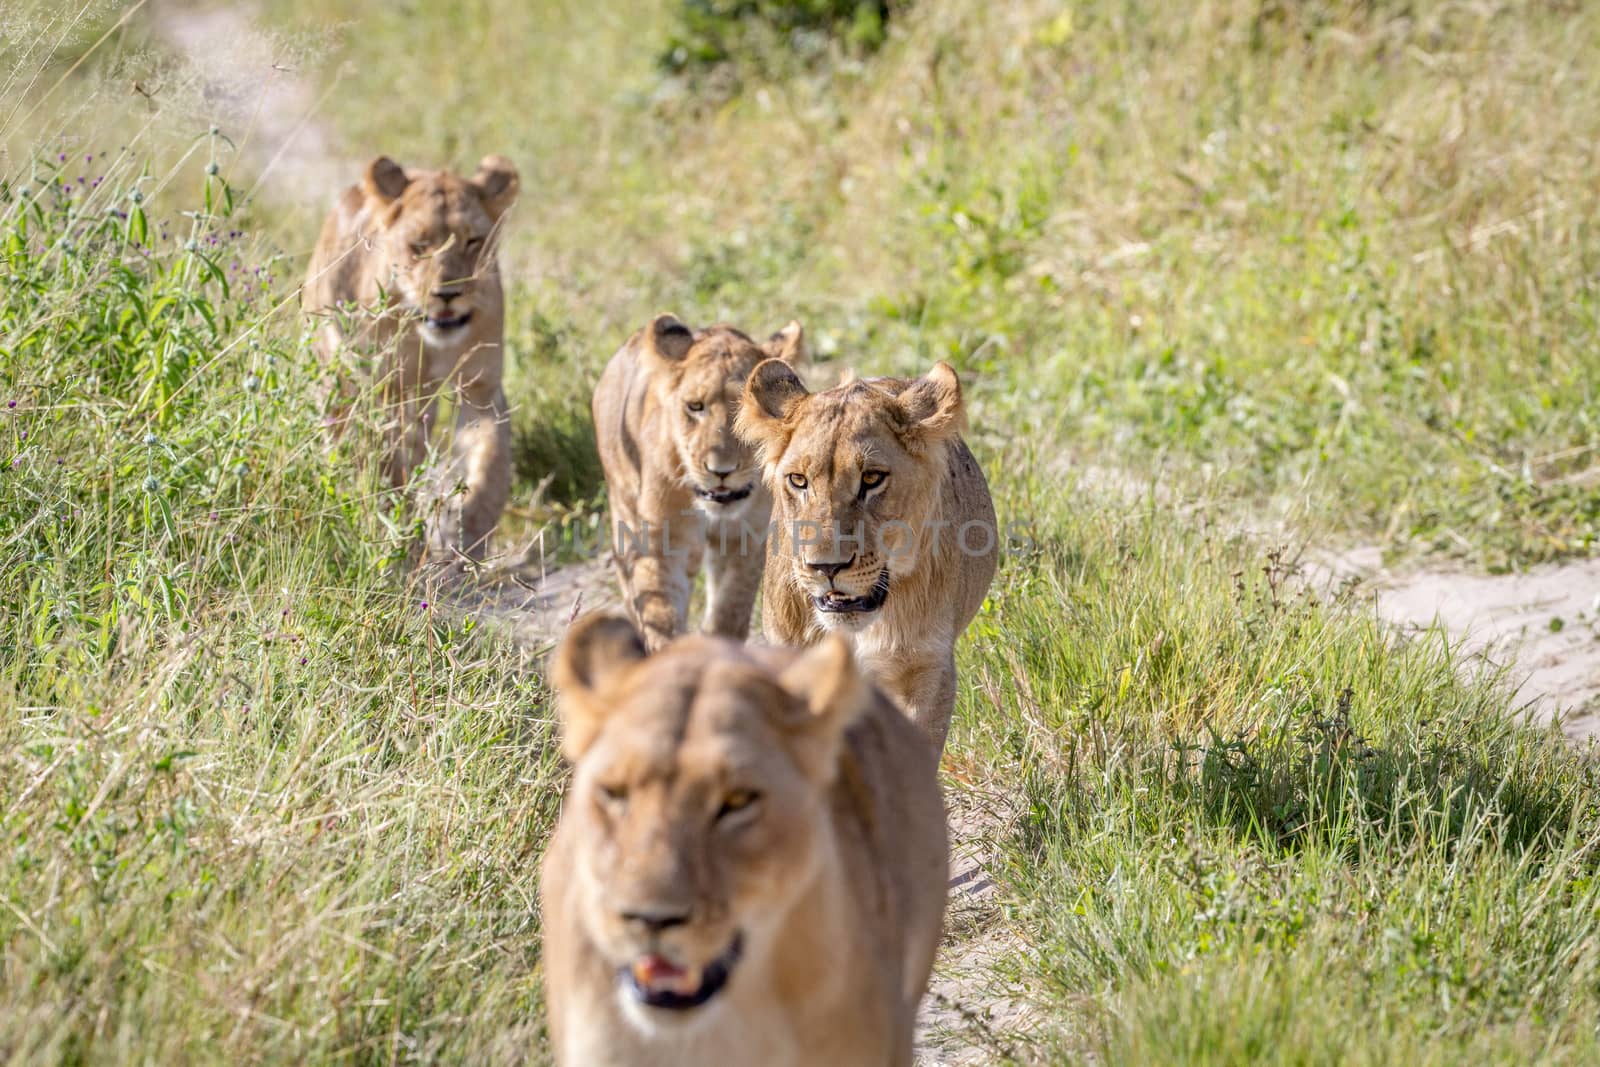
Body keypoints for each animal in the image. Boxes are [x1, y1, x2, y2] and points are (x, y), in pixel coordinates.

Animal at [300, 155, 518, 566]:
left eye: (473, 241)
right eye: (419, 246)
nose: (447, 293)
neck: (429, 340)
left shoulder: (479, 387)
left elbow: (492, 464)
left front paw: (468, 535)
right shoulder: (385, 393)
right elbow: (388, 467)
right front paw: (398, 534)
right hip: (340, 383)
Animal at [595, 313, 806, 652]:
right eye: (694, 406)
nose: (721, 470)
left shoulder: (747, 538)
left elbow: (729, 612)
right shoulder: (661, 542)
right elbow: (659, 612)